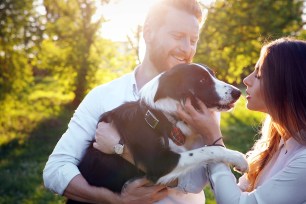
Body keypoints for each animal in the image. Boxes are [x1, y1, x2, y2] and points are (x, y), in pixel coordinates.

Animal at [66, 63, 246, 203]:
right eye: (202, 80)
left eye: (213, 76)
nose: (237, 92)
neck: (161, 115)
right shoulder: (158, 163)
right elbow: (209, 150)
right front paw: (239, 158)